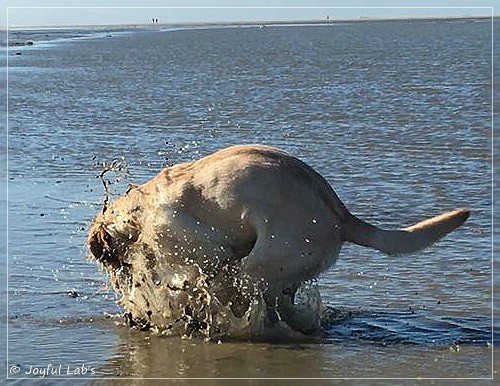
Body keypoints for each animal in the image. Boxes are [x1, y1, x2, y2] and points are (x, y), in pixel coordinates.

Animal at [89, 145, 468, 338]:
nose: (131, 313)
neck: (141, 209)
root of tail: (340, 216)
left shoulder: (209, 252)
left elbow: (200, 279)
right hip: (286, 272)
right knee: (284, 307)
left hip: (258, 267)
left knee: (260, 303)